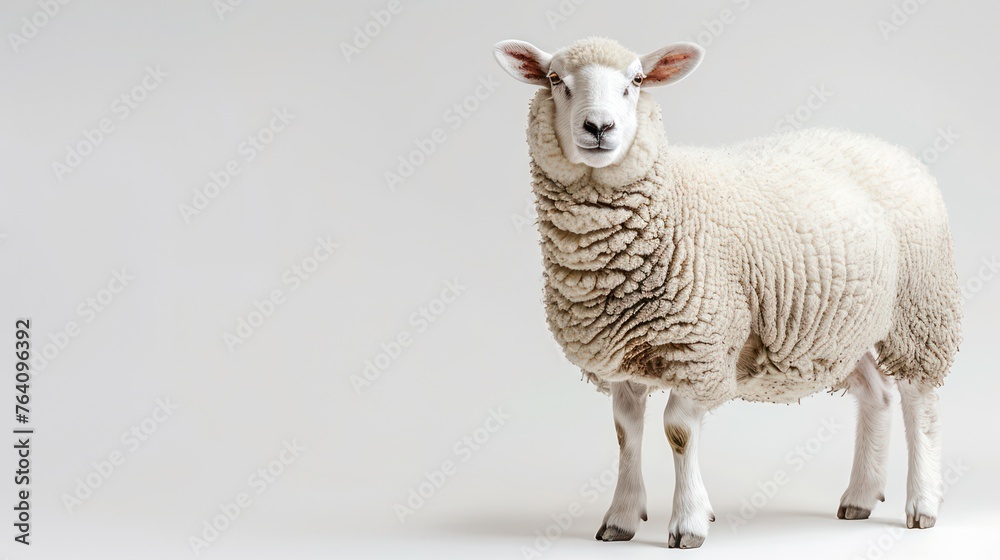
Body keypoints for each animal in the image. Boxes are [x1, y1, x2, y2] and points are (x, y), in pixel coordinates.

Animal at [493, 37, 962, 549]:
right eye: (555, 80)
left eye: (635, 81)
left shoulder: (702, 348)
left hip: (918, 308)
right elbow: (625, 432)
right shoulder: (622, 353)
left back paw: (923, 503)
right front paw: (620, 518)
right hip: (836, 329)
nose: (599, 127)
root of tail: (890, 148)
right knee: (877, 394)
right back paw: (860, 496)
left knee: (921, 401)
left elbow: (678, 431)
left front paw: (688, 522)